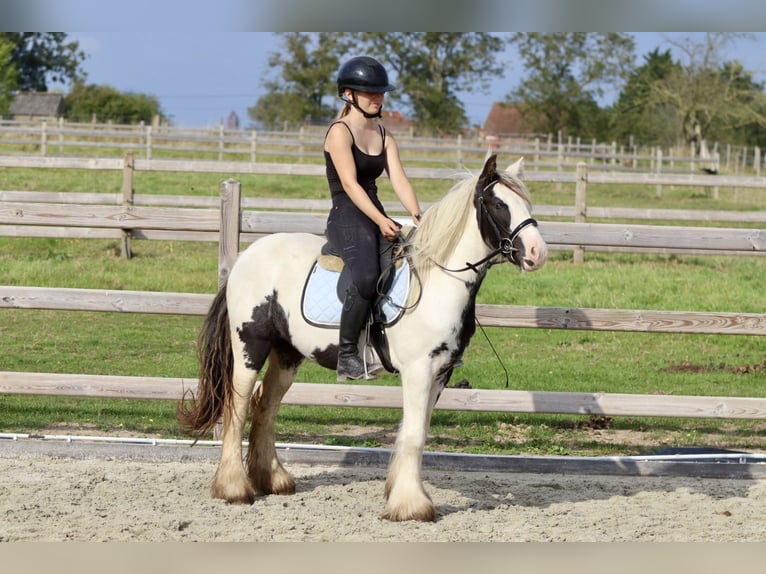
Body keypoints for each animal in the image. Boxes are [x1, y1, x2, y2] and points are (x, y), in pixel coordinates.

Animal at [178, 155, 552, 524]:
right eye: (499, 204)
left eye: (526, 202)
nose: (538, 253)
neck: (438, 282)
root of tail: (245, 258)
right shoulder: (419, 370)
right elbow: (414, 435)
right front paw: (411, 506)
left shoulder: (441, 372)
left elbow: (418, 432)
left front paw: (401, 493)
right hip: (250, 346)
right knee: (238, 405)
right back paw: (234, 488)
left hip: (287, 354)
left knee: (265, 405)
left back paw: (273, 479)